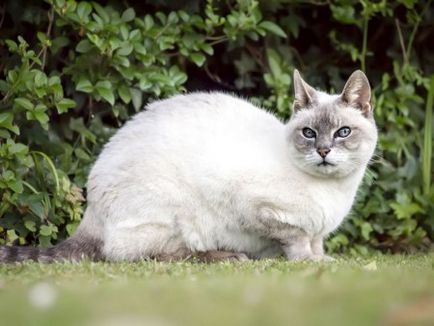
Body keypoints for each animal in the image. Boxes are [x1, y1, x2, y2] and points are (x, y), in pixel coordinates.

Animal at [0, 69, 376, 262]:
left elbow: (316, 242)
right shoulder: (256, 210)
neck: (333, 192)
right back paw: (227, 257)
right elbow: (296, 239)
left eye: (342, 132)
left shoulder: (317, 231)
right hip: (174, 215)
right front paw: (310, 264)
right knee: (135, 254)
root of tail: (89, 212)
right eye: (309, 133)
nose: (324, 151)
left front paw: (323, 261)